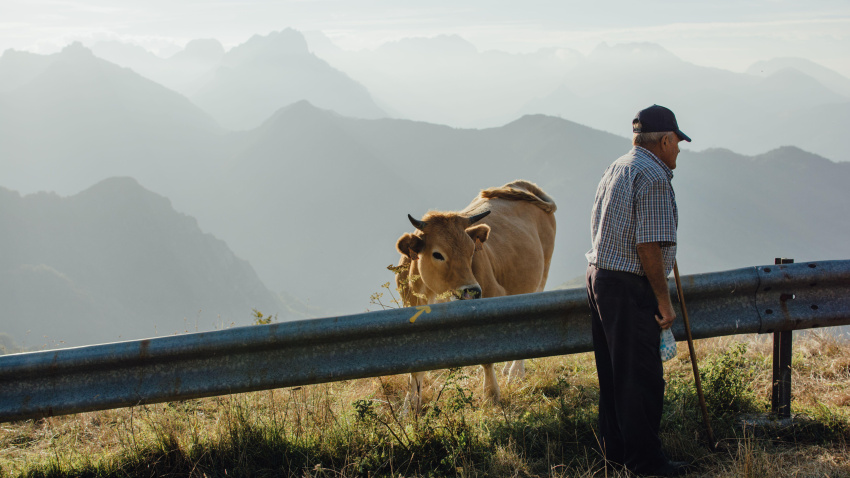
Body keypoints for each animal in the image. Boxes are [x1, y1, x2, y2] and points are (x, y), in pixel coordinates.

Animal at [394, 180, 557, 413]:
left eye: (471, 251)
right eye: (437, 254)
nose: (472, 291)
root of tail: (520, 185)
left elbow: (486, 357)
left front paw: (491, 396)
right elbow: (416, 367)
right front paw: (409, 408)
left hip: (540, 279)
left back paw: (515, 374)